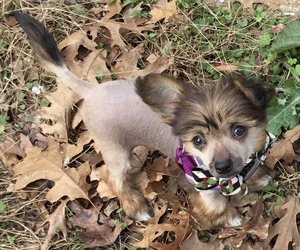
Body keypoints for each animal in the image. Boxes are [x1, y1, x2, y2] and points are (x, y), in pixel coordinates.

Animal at [11, 12, 274, 229]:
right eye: (198, 140)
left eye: (239, 131)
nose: (222, 166)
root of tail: (92, 91)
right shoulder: (203, 186)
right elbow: (216, 205)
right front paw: (228, 218)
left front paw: (258, 176)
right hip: (116, 152)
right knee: (113, 178)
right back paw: (135, 207)